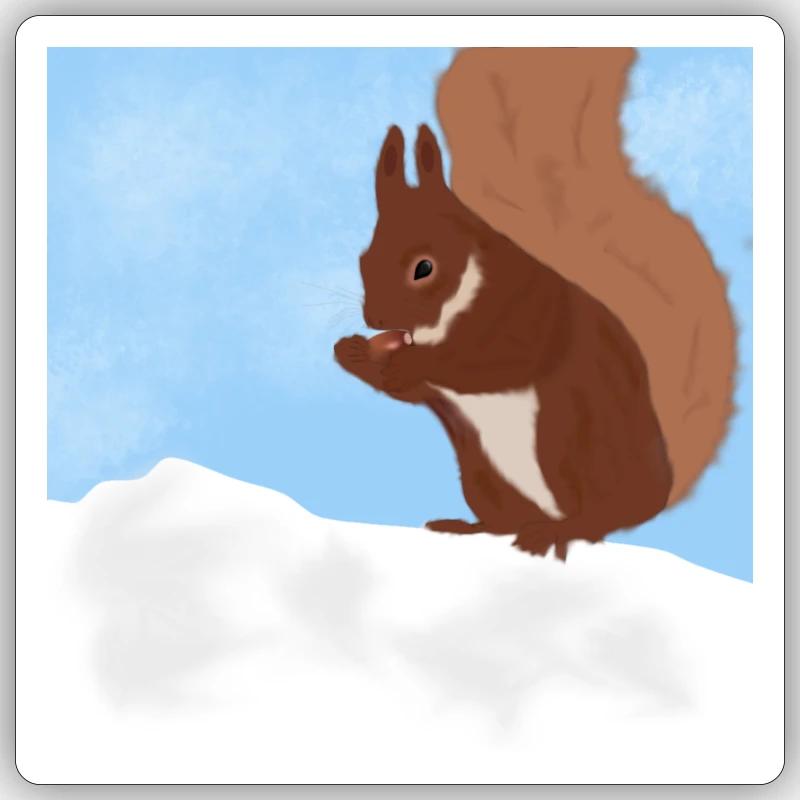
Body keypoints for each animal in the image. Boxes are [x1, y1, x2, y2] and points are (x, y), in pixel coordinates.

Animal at [334, 48, 736, 560]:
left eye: (423, 267)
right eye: (363, 258)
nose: (375, 319)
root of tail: (655, 494)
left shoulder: (527, 310)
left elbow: (492, 360)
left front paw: (410, 362)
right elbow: (406, 388)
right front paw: (352, 351)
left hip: (571, 443)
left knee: (597, 521)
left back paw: (558, 532)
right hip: (482, 474)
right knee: (505, 521)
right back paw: (468, 526)